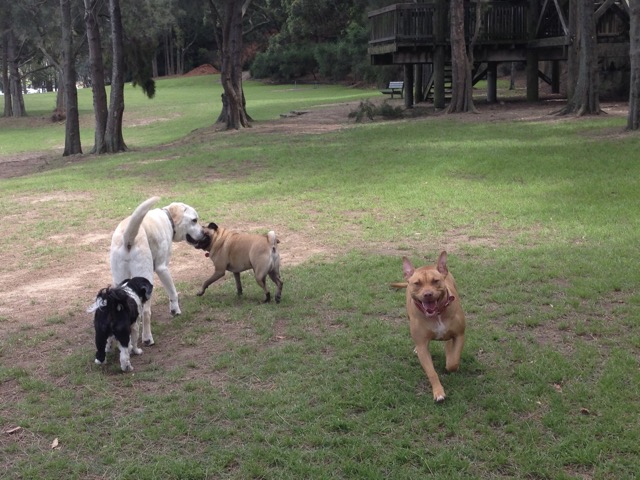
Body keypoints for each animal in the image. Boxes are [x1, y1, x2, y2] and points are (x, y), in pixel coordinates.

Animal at [109, 197, 205, 346]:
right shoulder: (162, 268)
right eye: (194, 220)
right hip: (146, 279)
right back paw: (147, 338)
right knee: (146, 313)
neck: (168, 219)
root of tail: (127, 239)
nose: (204, 233)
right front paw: (175, 310)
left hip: (119, 279)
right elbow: (173, 293)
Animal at [390, 251, 464, 402]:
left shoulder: (460, 335)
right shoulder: (423, 346)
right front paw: (438, 392)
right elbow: (431, 372)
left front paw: (451, 361)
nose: (428, 294)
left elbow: (453, 362)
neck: (437, 314)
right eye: (417, 283)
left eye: (435, 281)